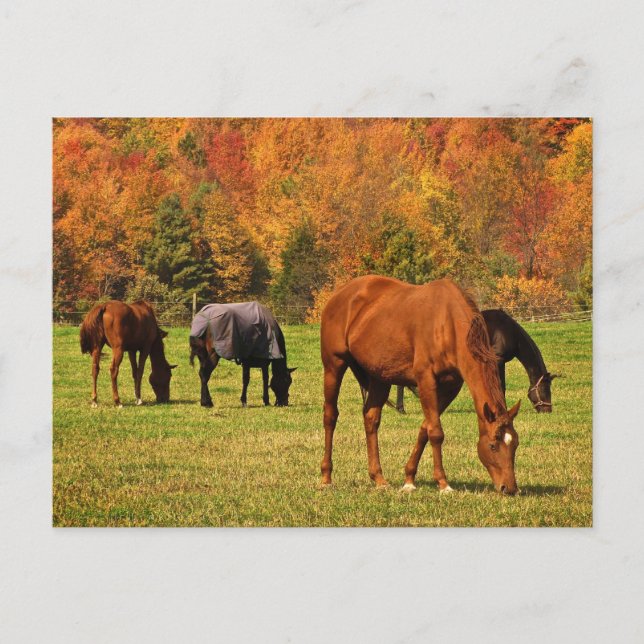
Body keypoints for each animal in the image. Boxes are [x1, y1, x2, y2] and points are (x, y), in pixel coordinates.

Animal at [320, 275, 521, 495]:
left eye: (515, 444)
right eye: (493, 445)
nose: (509, 487)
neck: (447, 324)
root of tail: (339, 294)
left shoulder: (451, 387)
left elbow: (425, 429)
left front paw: (409, 479)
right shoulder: (426, 380)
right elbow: (436, 432)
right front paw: (443, 483)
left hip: (380, 377)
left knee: (371, 418)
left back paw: (379, 478)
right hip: (333, 366)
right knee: (330, 416)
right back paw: (326, 477)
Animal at [388, 308, 558, 414]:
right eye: (545, 389)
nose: (548, 410)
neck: (509, 331)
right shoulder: (498, 360)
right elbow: (500, 386)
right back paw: (401, 407)